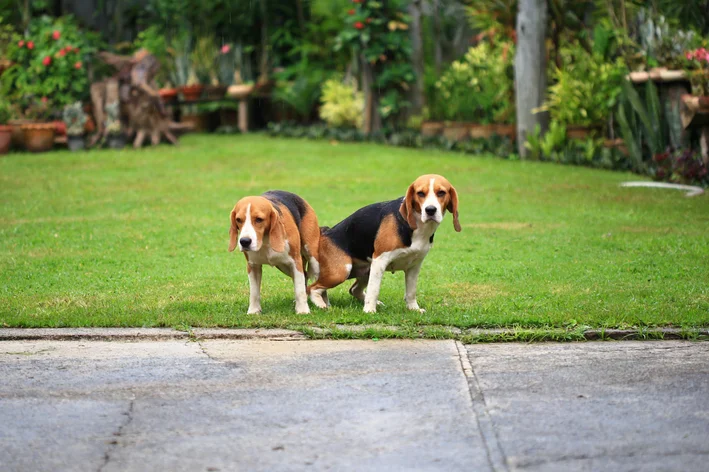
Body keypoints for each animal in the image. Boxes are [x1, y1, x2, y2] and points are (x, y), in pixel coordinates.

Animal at [308, 175, 462, 312]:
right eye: (420, 193)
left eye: (441, 192)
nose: (430, 210)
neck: (418, 227)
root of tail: (326, 232)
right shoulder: (379, 261)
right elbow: (374, 290)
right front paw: (369, 311)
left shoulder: (414, 266)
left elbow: (411, 291)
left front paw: (413, 309)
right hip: (341, 271)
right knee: (312, 288)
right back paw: (321, 305)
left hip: (365, 270)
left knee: (353, 290)